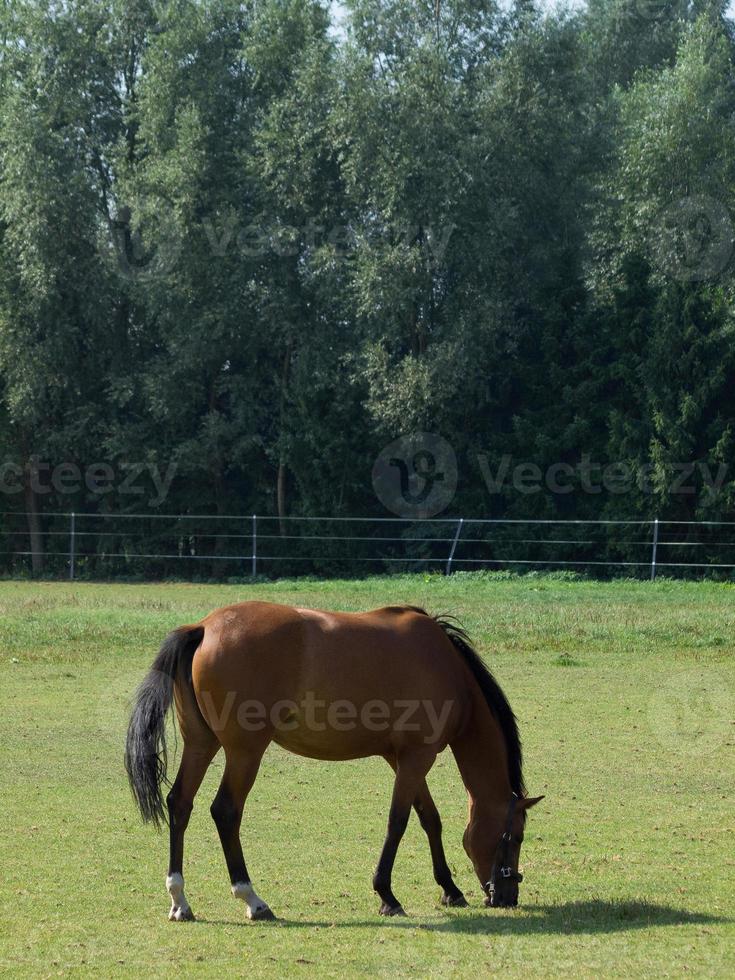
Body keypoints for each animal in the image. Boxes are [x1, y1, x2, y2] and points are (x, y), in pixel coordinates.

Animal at [125, 600, 540, 924]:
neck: (447, 668)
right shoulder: (416, 758)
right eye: (517, 836)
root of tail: (205, 627)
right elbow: (398, 822)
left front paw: (450, 889)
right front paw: (387, 895)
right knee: (225, 811)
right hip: (245, 753)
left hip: (201, 743)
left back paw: (180, 900)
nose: (506, 897)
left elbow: (429, 820)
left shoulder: (403, 759)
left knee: (180, 803)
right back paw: (253, 900)